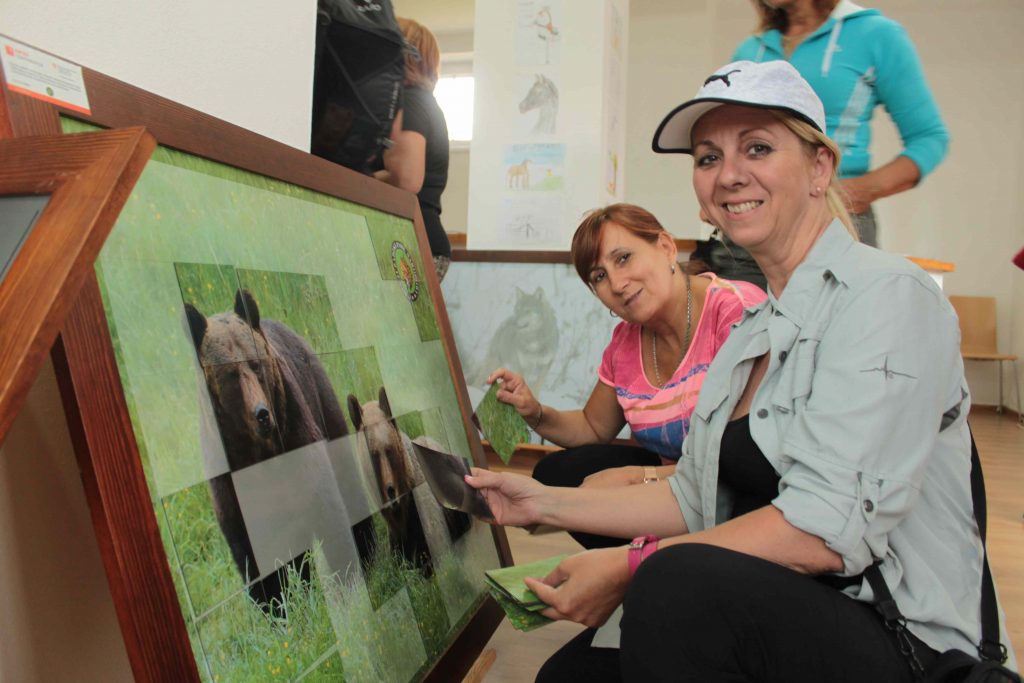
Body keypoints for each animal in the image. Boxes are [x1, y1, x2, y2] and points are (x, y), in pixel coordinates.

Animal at [190, 288, 350, 614]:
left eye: (256, 364)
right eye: (229, 374)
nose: (262, 414)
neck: (260, 455)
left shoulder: (296, 434)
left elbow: (327, 504)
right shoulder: (229, 479)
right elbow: (251, 554)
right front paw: (275, 609)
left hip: (321, 397)